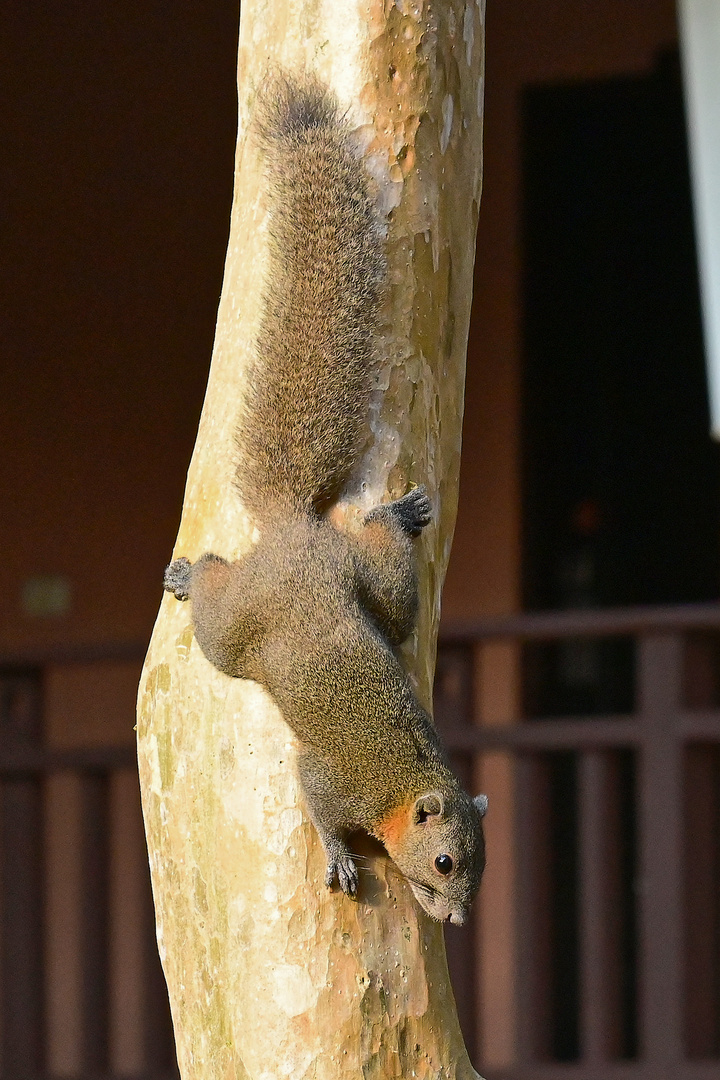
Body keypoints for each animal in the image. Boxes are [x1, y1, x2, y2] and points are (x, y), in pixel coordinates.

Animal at [164, 73, 490, 928]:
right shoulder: (332, 778)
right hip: (237, 625)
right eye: (444, 863)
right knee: (216, 603)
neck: (406, 782)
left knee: (386, 566)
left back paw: (397, 516)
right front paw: (342, 856)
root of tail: (295, 536)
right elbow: (315, 803)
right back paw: (189, 574)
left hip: (371, 584)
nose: (458, 920)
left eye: (482, 867)